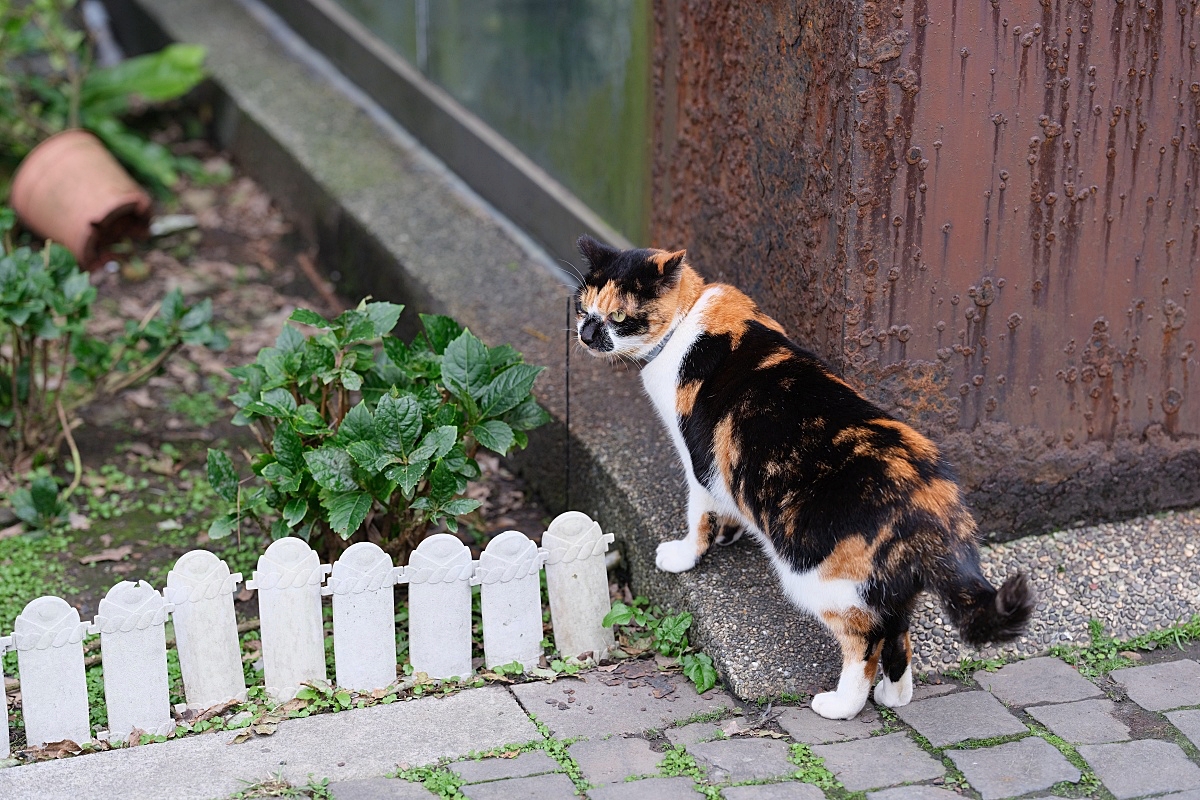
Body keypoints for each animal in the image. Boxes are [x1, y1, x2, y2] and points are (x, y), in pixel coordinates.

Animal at [571, 235, 1032, 724]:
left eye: (619, 317)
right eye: (582, 308)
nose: (586, 333)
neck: (688, 317)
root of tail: (931, 497)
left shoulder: (699, 464)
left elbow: (699, 516)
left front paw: (684, 555)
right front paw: (731, 532)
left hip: (818, 577)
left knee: (866, 639)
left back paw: (841, 705)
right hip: (888, 584)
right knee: (896, 628)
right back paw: (894, 695)